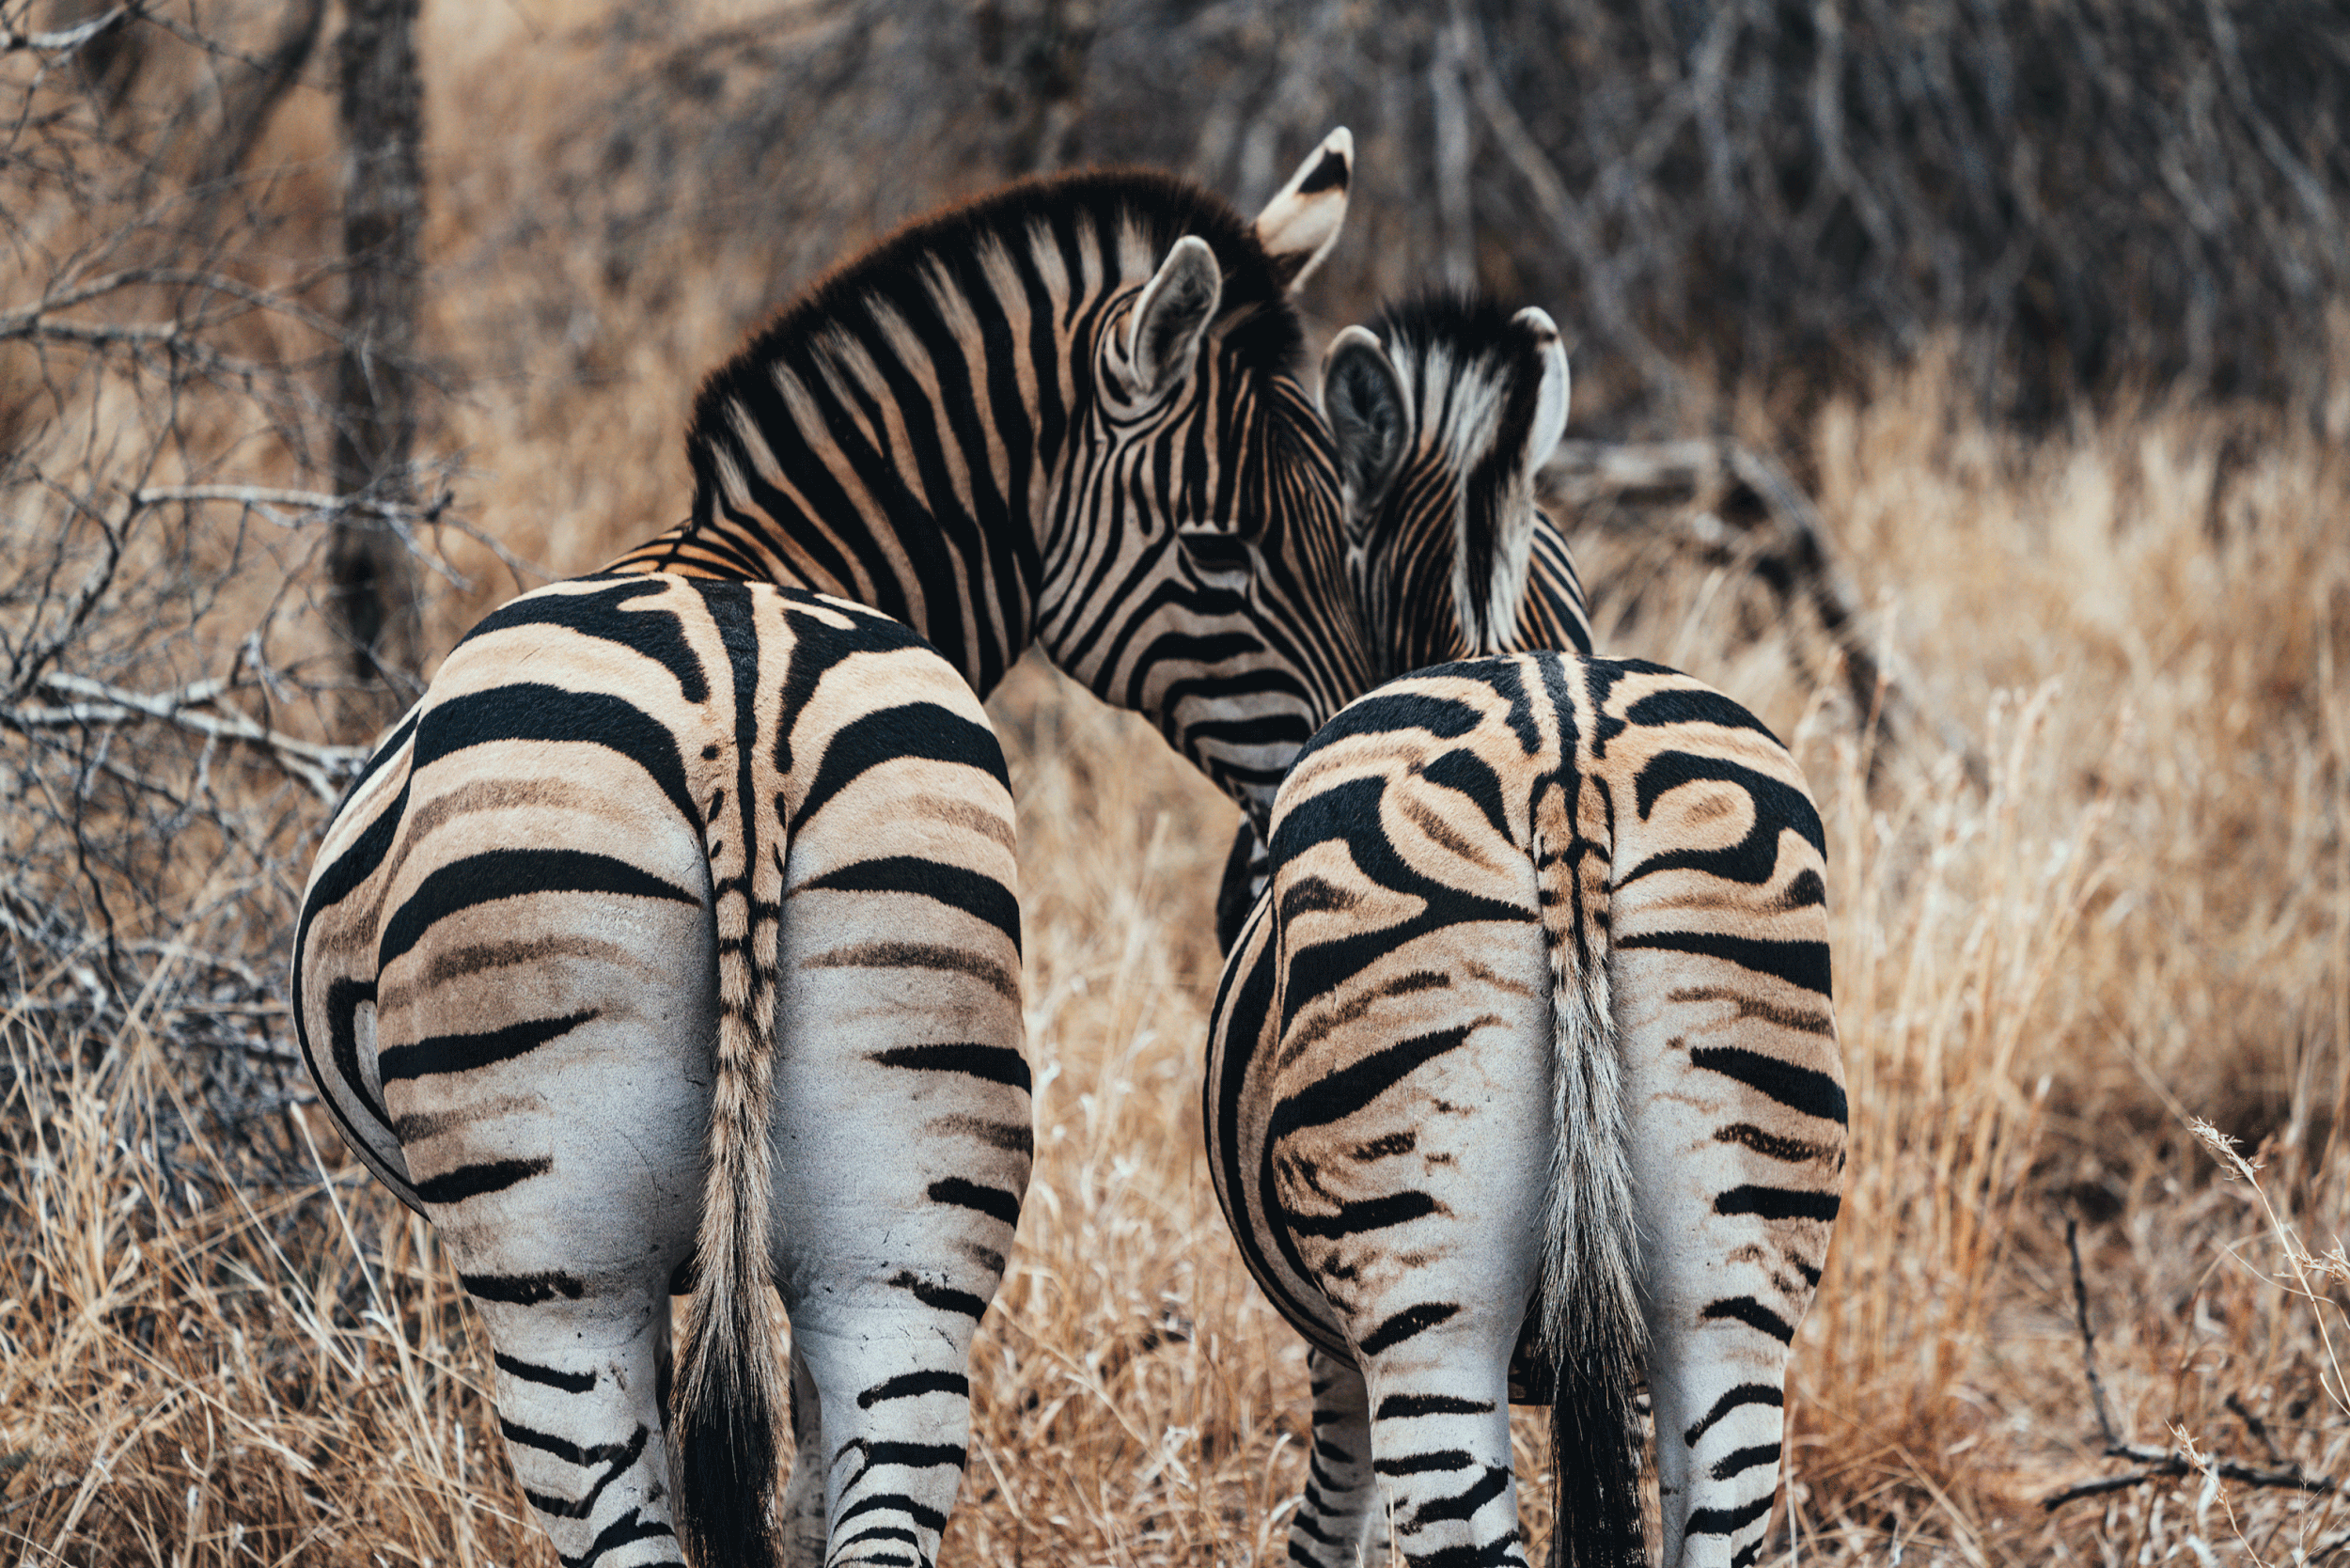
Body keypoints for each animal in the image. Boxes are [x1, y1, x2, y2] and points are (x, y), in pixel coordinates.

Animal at [294, 134, 1372, 1568]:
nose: (1344, 758)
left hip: (558, 1271)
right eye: (1218, 549)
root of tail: (739, 719)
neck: (762, 552)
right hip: (902, 1227)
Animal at [1205, 296, 1846, 1568]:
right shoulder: (1626, 1349)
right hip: (1730, 1288)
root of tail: (1566, 756)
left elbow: (1330, 1522)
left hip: (1423, 1306)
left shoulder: (1332, 1342)